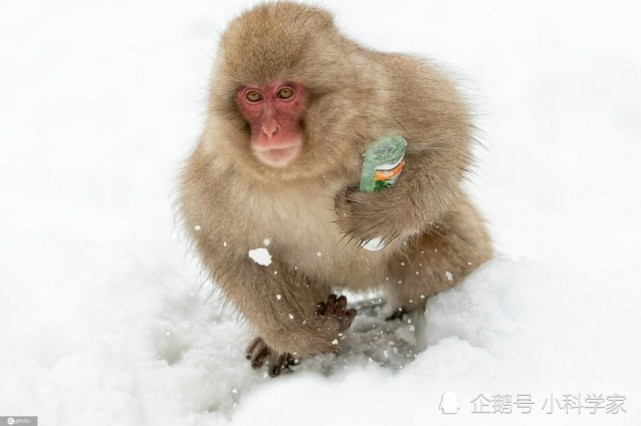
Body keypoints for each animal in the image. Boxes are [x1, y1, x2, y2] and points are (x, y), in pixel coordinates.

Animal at [179, 2, 490, 376]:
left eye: (285, 93)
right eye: (252, 96)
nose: (269, 131)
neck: (303, 170)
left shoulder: (381, 94)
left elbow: (449, 132)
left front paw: (377, 215)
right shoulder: (219, 173)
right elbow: (228, 248)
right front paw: (308, 335)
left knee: (445, 242)